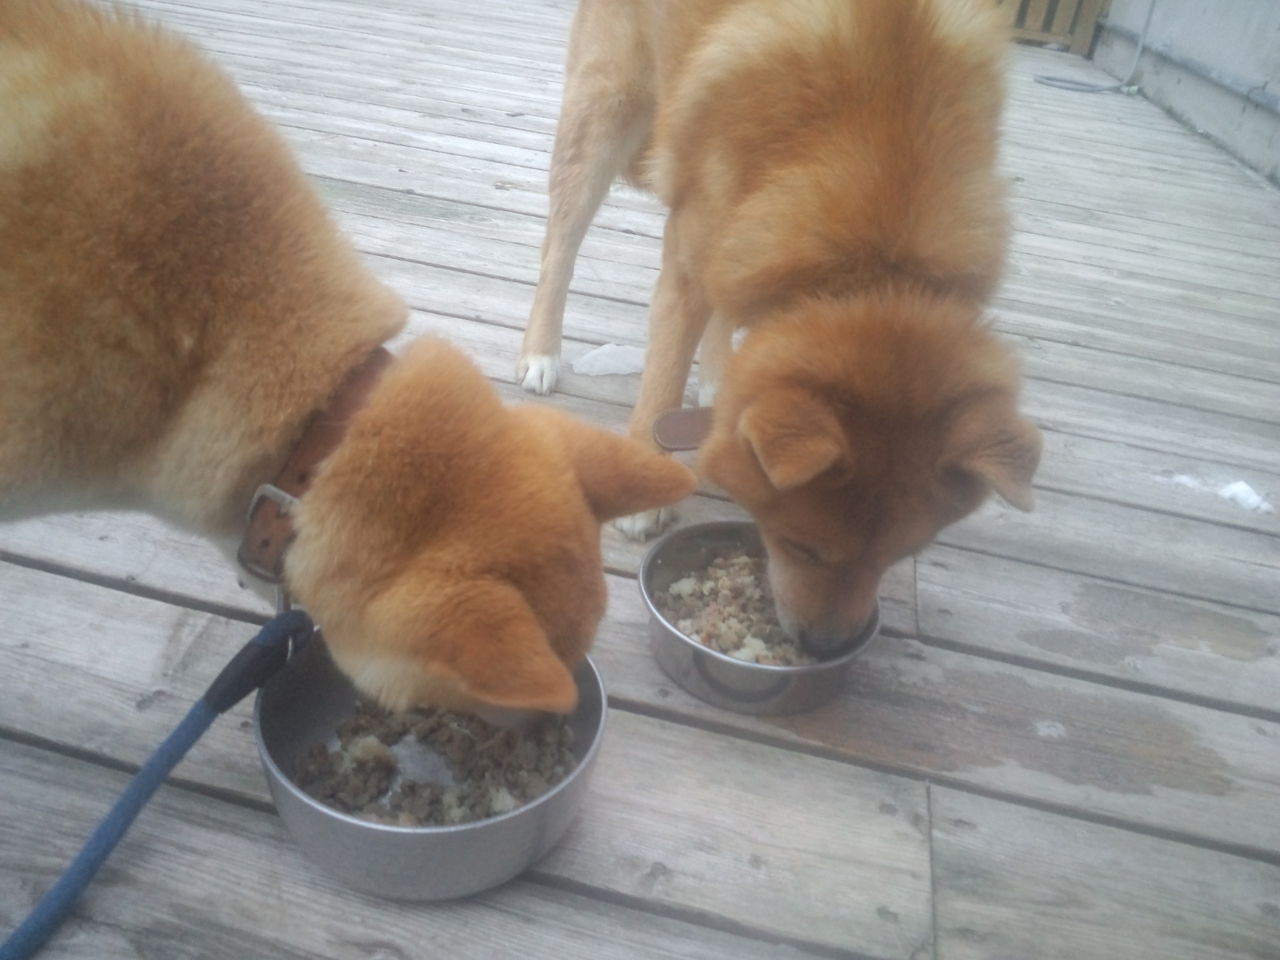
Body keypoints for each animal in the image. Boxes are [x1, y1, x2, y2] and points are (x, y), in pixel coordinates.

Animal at [516, 0, 1041, 656]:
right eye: (800, 546)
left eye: (899, 557)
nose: (828, 648)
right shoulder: (692, 256)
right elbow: (661, 377)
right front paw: (647, 490)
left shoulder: (745, 233)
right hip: (604, 113)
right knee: (559, 245)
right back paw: (541, 351)